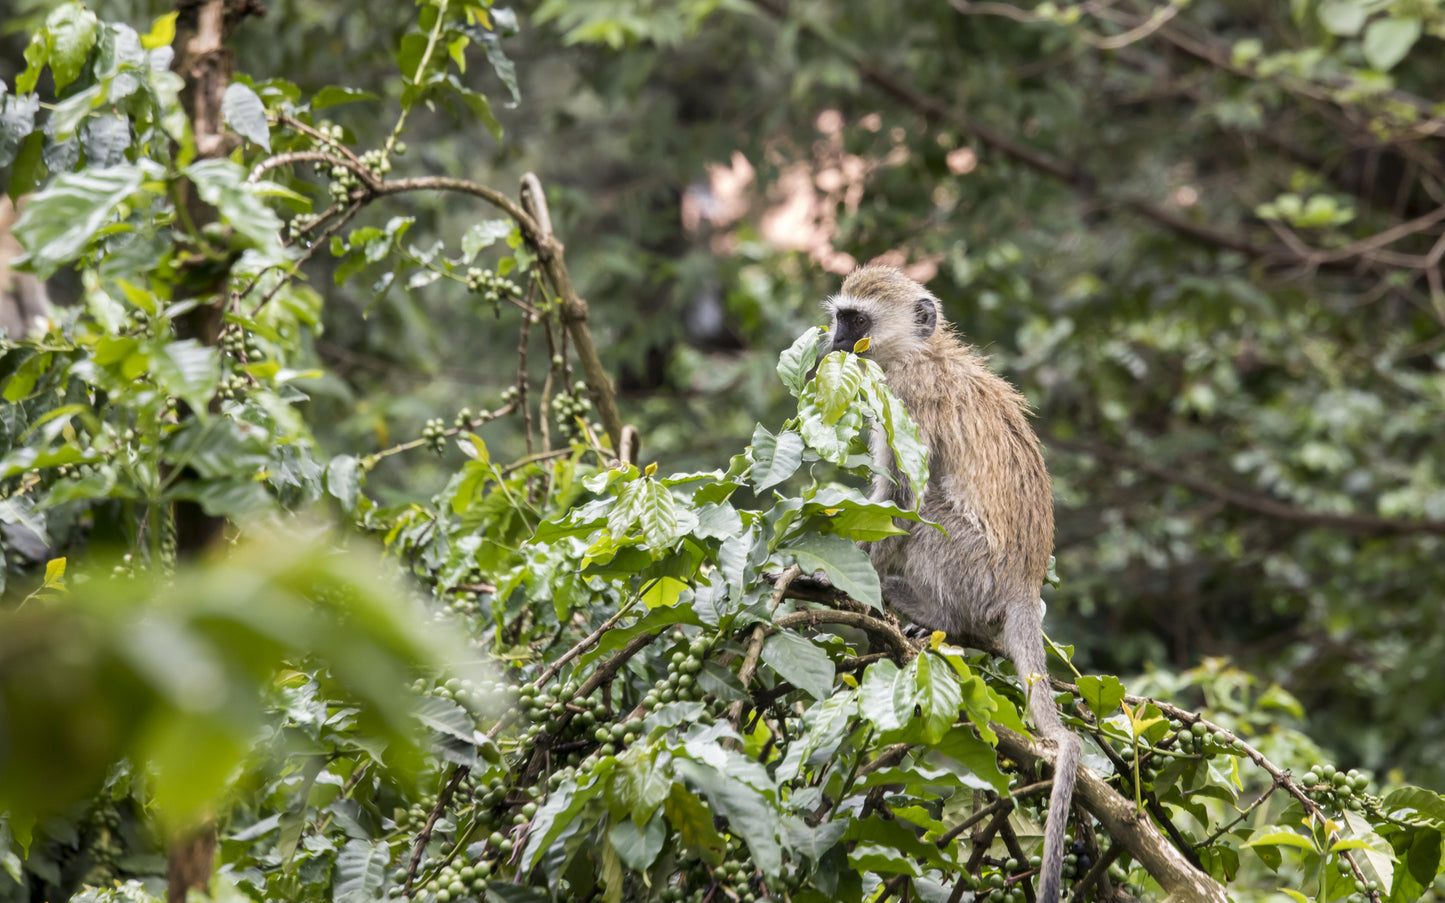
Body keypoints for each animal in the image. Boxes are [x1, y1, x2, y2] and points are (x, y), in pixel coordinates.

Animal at [832, 265, 1080, 901]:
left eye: (857, 320)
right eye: (839, 317)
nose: (834, 343)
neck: (923, 353)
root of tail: (1021, 586)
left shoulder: (908, 398)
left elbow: (901, 497)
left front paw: (843, 573)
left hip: (970, 567)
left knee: (929, 510)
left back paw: (924, 609)